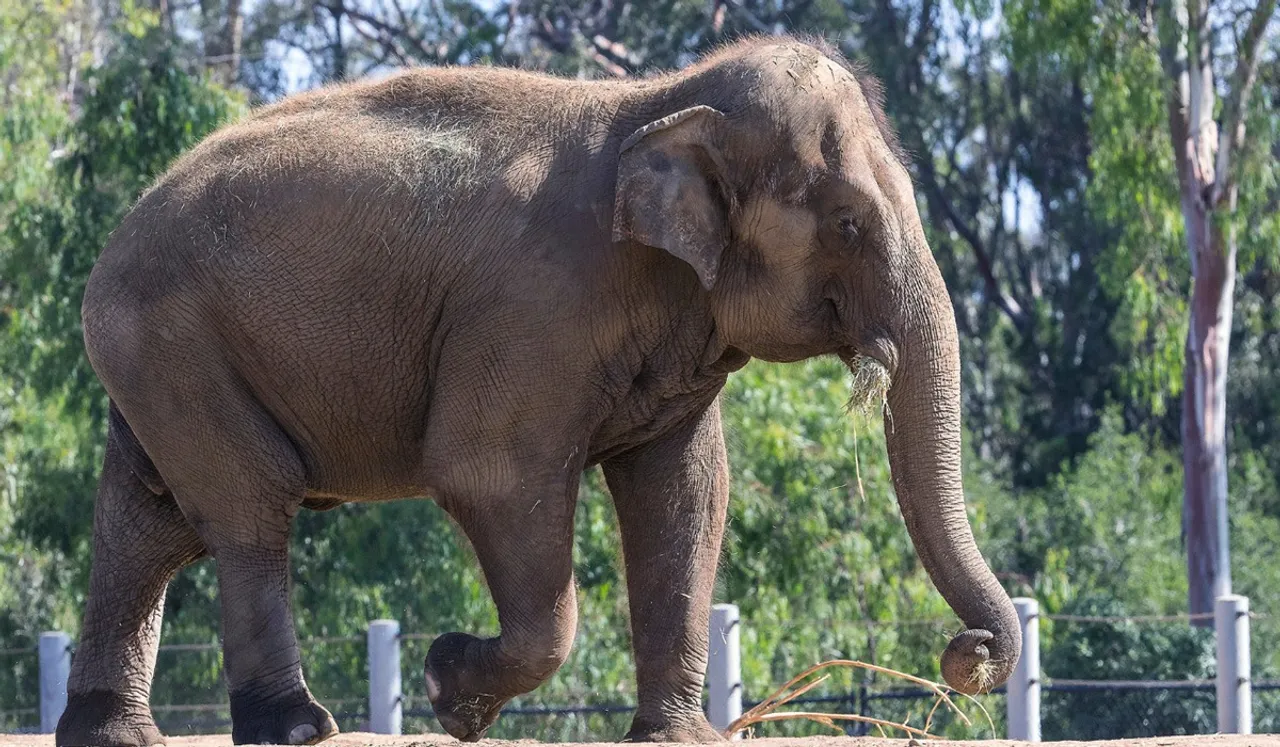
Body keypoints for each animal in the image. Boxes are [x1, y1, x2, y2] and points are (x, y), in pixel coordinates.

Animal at [57, 34, 1020, 747]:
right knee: (249, 509)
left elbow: (685, 492)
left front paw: (676, 739)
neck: (654, 101)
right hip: (174, 343)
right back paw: (297, 728)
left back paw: (114, 735)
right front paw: (448, 688)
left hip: (160, 359)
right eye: (849, 222)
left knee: (148, 521)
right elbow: (489, 473)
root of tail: (110, 241)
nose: (967, 654)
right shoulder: (531, 312)